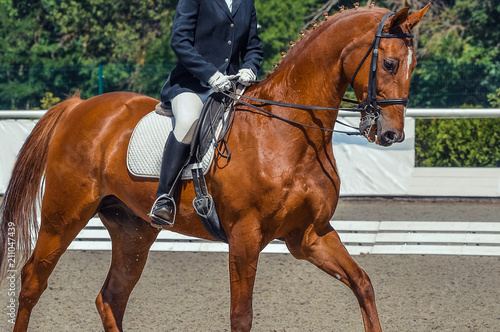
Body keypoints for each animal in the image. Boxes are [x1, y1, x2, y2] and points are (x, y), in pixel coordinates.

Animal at [0, 3, 430, 332]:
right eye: (390, 63)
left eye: (413, 67)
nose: (390, 134)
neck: (287, 132)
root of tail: (78, 106)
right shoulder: (244, 237)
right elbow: (241, 317)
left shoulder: (309, 235)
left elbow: (363, 284)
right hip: (64, 215)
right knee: (32, 280)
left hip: (132, 230)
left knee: (111, 298)